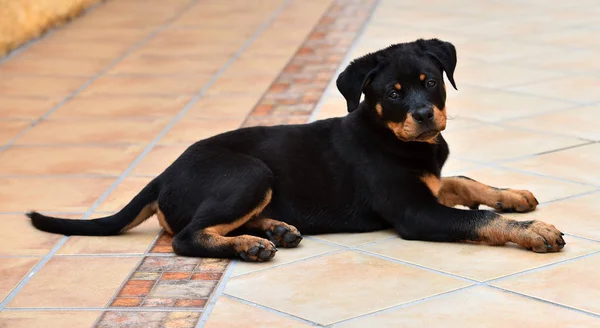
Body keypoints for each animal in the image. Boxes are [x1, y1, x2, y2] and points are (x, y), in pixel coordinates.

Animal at [28, 37, 564, 262]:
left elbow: (465, 181)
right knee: (185, 237)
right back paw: (249, 245)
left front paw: (514, 195)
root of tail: (163, 174)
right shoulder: (415, 212)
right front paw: (535, 231)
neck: (391, 137)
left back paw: (274, 230)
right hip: (250, 172)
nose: (423, 116)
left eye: (430, 81)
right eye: (393, 93)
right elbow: (476, 219)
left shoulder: (429, 182)